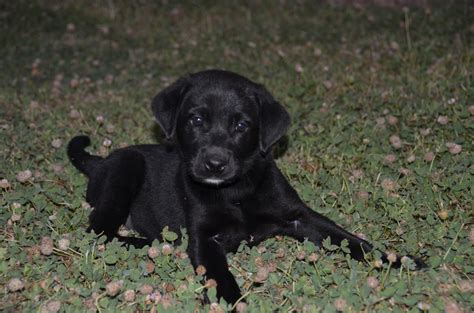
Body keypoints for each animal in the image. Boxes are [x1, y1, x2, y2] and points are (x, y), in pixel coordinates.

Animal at [67, 69, 426, 304]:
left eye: (241, 125)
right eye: (196, 120)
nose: (214, 163)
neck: (235, 191)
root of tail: (100, 161)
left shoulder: (301, 217)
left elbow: (353, 241)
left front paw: (401, 260)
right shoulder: (204, 238)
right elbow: (220, 276)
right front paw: (231, 302)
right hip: (127, 168)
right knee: (99, 230)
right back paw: (151, 243)